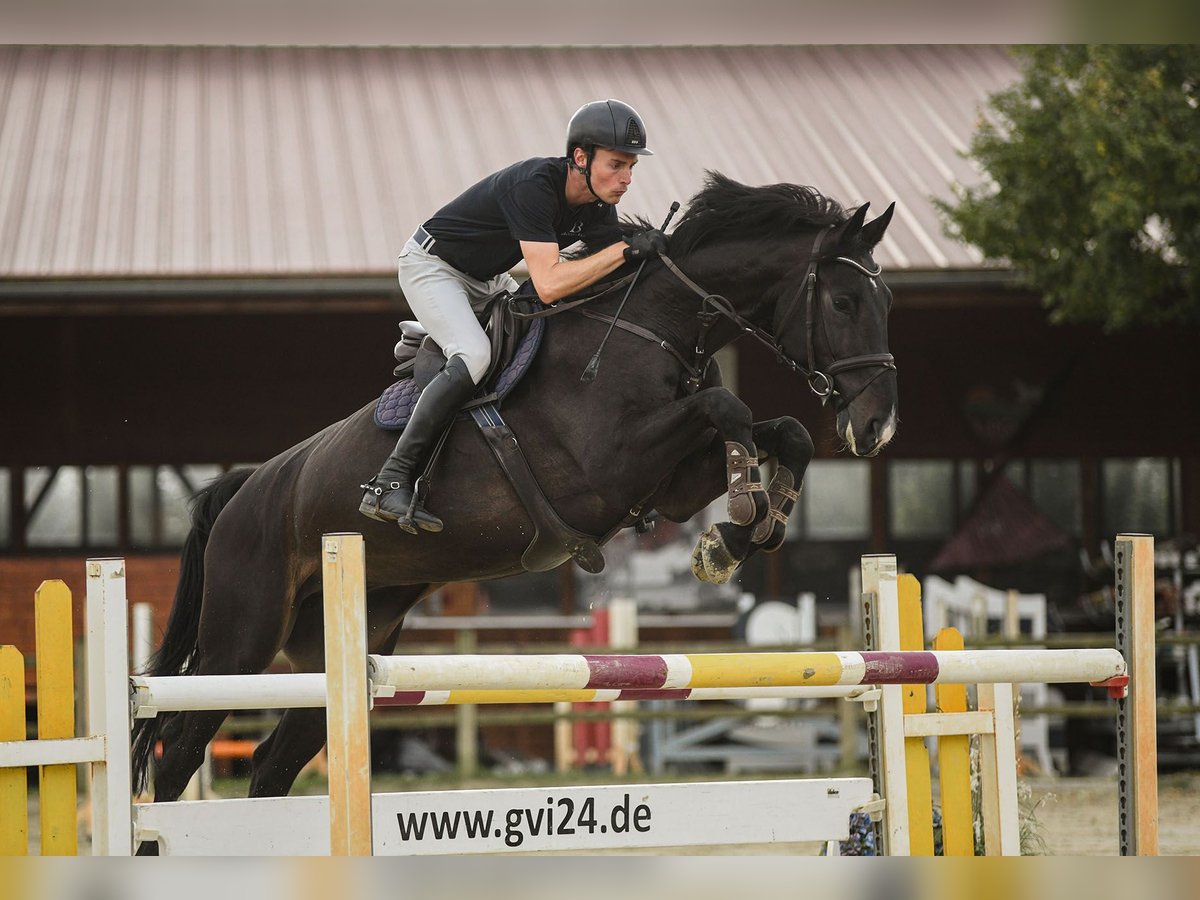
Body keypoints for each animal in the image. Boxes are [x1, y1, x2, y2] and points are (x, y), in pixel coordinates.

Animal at [133, 172, 902, 816]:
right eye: (842, 301)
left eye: (885, 301)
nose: (877, 425)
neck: (651, 326)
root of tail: (246, 490)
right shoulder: (610, 466)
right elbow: (727, 407)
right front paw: (739, 521)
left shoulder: (673, 481)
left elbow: (784, 432)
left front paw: (742, 532)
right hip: (241, 640)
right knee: (175, 752)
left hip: (343, 642)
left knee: (270, 762)